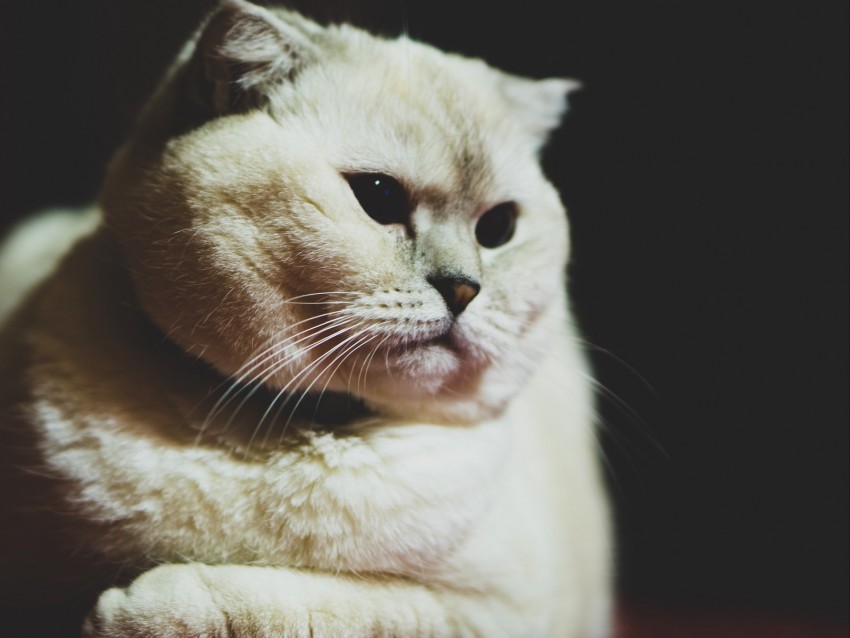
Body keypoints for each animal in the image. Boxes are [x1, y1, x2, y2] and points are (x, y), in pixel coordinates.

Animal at [0, 2, 608, 636]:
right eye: (378, 196)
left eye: (498, 228)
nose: (464, 288)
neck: (285, 430)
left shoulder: (491, 610)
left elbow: (293, 603)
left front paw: (132, 608)